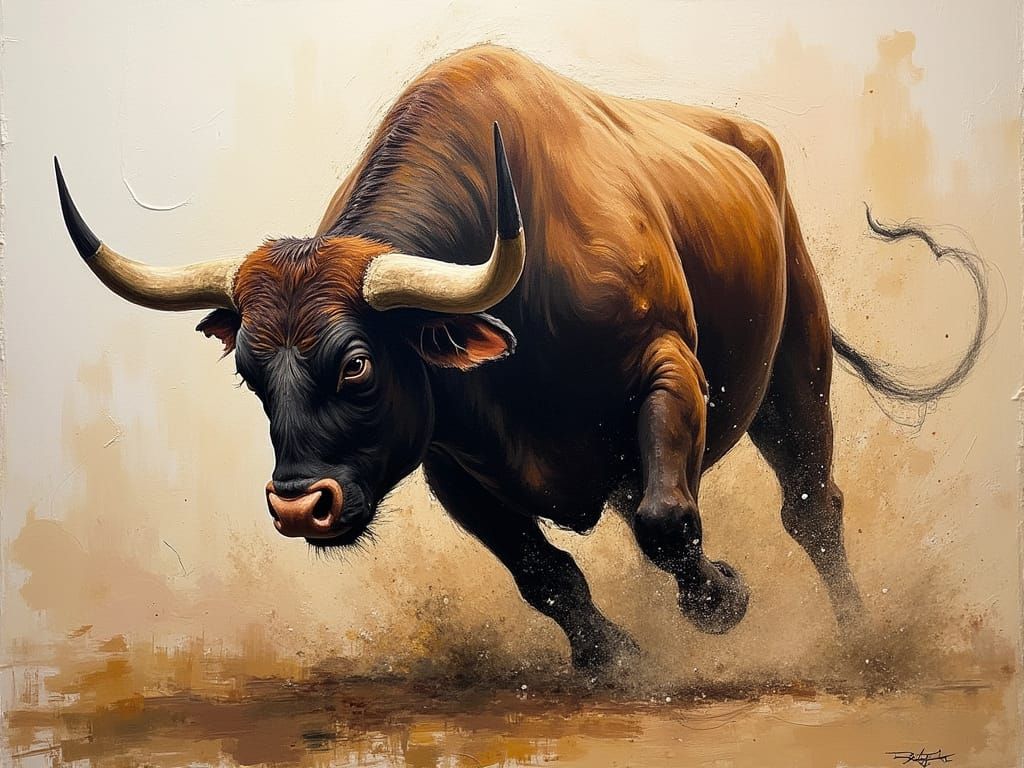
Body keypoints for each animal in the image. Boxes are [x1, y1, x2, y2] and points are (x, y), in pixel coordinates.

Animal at [55, 45, 987, 671]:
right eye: (250, 372)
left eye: (356, 364)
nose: (297, 506)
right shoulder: (449, 462)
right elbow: (544, 572)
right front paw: (617, 657)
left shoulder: (670, 371)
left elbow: (667, 522)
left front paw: (722, 599)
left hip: (796, 367)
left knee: (810, 506)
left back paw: (861, 639)